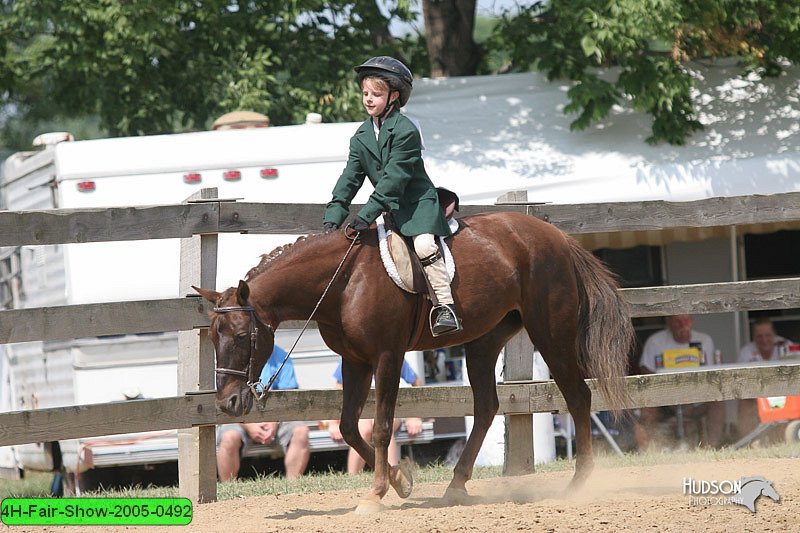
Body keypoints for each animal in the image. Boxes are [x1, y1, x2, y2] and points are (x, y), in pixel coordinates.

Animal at [194, 210, 632, 510]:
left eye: (241, 336)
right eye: (213, 338)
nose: (227, 403)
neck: (342, 282)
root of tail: (557, 237)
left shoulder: (387, 357)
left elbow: (381, 428)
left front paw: (375, 495)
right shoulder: (355, 362)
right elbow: (349, 427)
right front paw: (400, 481)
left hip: (551, 335)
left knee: (578, 397)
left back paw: (579, 484)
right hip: (483, 343)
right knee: (487, 407)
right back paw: (456, 485)